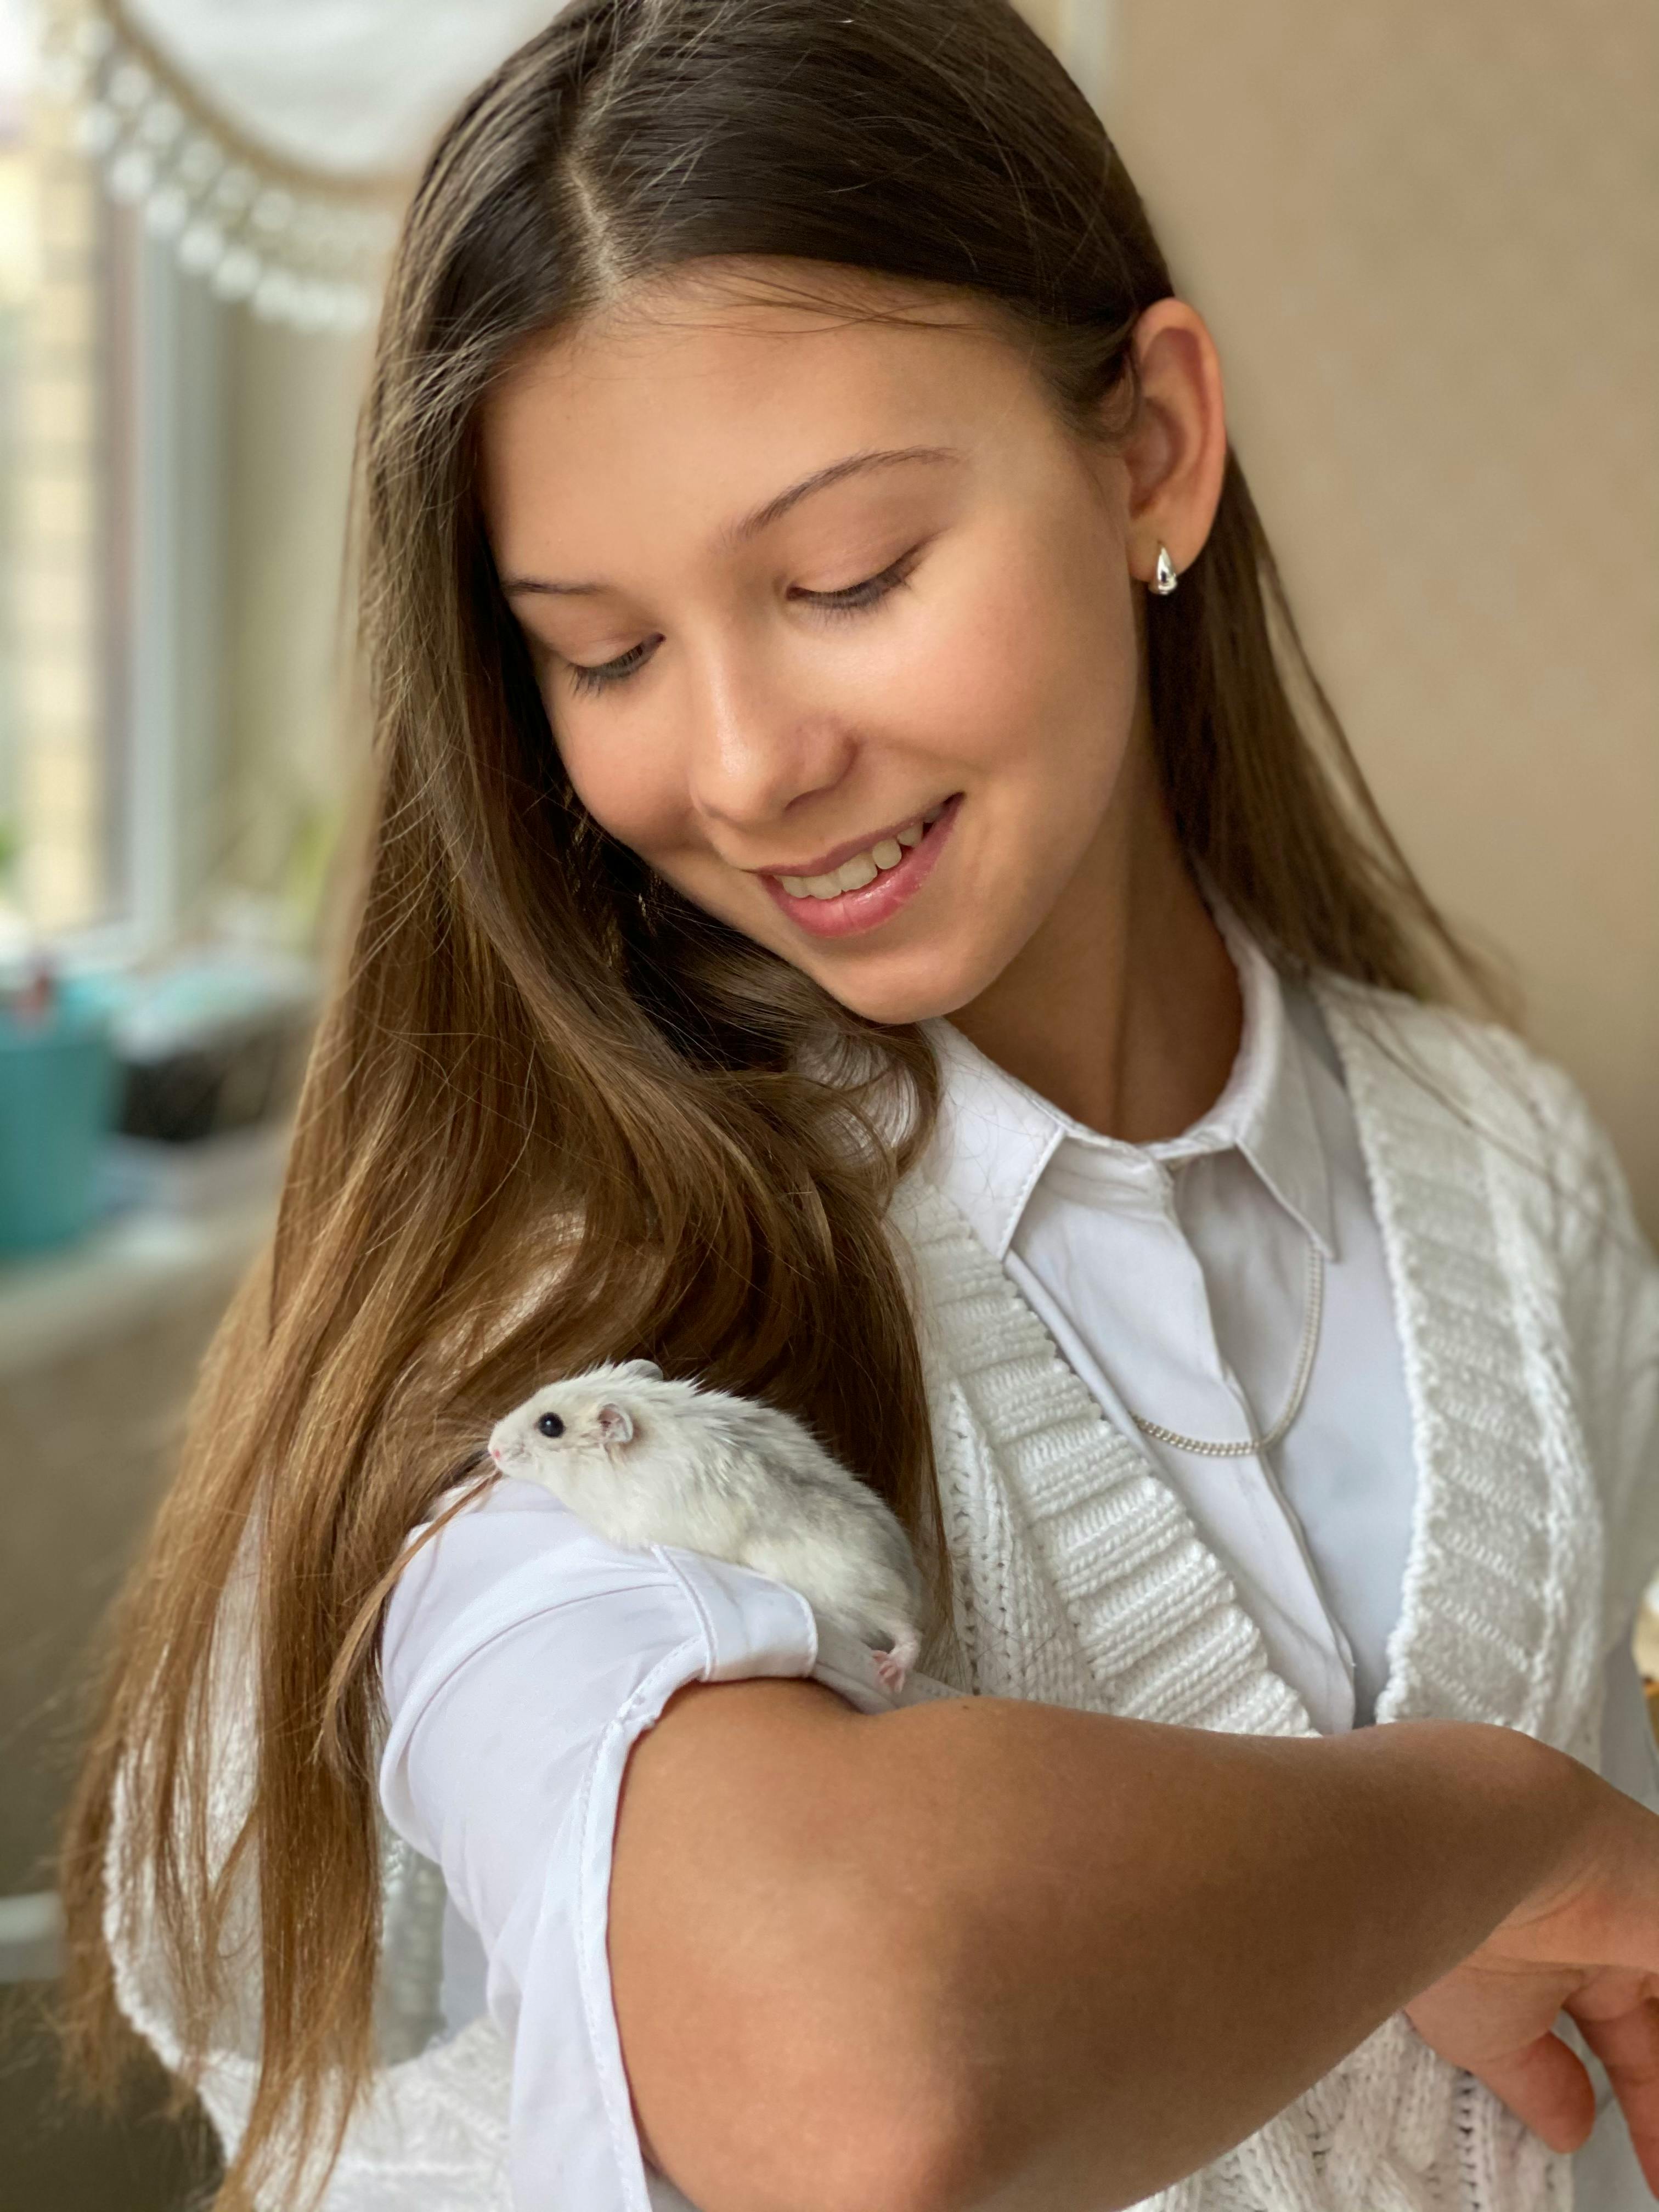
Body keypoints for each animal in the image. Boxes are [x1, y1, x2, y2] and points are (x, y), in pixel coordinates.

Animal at [487, 1353, 929, 1681]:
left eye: (550, 1425)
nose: (491, 1448)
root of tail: (909, 1580)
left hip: (852, 1593)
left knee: (907, 1630)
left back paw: (892, 1670)